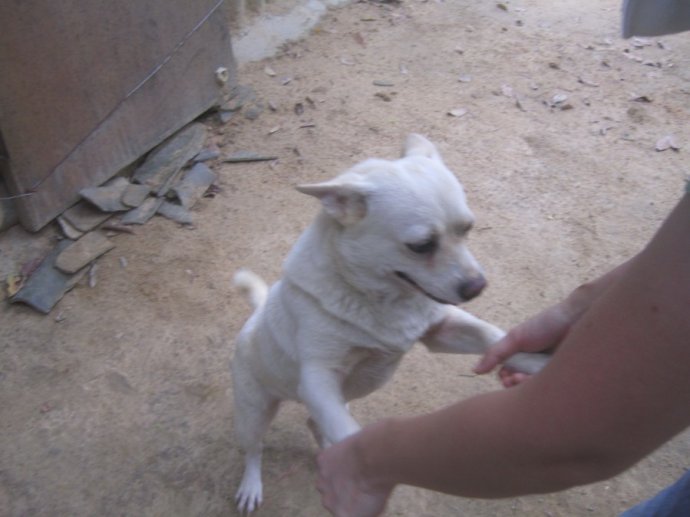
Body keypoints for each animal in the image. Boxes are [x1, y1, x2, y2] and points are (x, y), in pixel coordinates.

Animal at [231, 134, 548, 513]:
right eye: (421, 246)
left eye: (468, 229)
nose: (477, 287)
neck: (386, 302)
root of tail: (253, 319)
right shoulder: (318, 379)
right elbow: (348, 432)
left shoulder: (441, 331)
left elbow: (493, 336)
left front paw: (540, 361)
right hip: (254, 413)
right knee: (254, 450)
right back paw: (251, 485)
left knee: (314, 422)